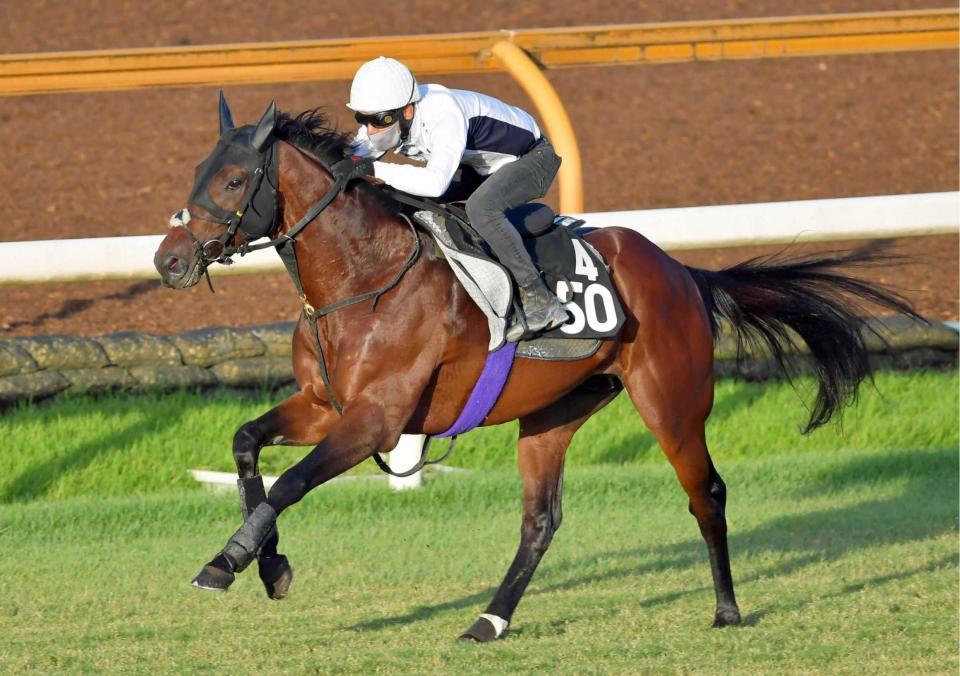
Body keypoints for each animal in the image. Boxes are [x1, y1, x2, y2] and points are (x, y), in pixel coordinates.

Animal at [153, 97, 916, 642]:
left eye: (233, 179)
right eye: (194, 175)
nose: (168, 259)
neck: (361, 278)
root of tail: (681, 271)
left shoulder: (378, 420)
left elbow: (291, 483)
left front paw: (227, 562)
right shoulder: (323, 404)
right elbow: (247, 447)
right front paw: (268, 565)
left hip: (670, 402)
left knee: (707, 494)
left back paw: (727, 610)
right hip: (555, 412)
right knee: (541, 521)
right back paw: (488, 621)